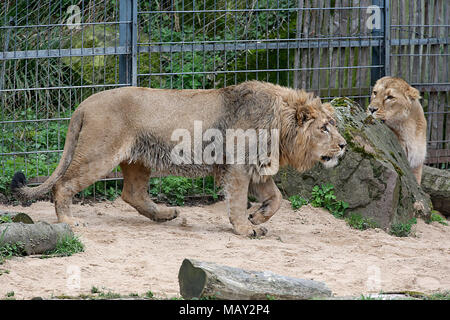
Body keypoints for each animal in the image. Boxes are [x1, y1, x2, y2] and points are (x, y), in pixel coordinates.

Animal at [12, 82, 346, 238]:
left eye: (333, 124)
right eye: (324, 127)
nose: (343, 145)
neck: (281, 126)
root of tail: (84, 103)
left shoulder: (257, 167)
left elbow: (276, 199)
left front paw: (258, 217)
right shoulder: (237, 166)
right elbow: (238, 201)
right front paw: (245, 228)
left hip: (138, 160)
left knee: (131, 193)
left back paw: (165, 215)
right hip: (99, 154)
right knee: (63, 185)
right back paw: (68, 221)